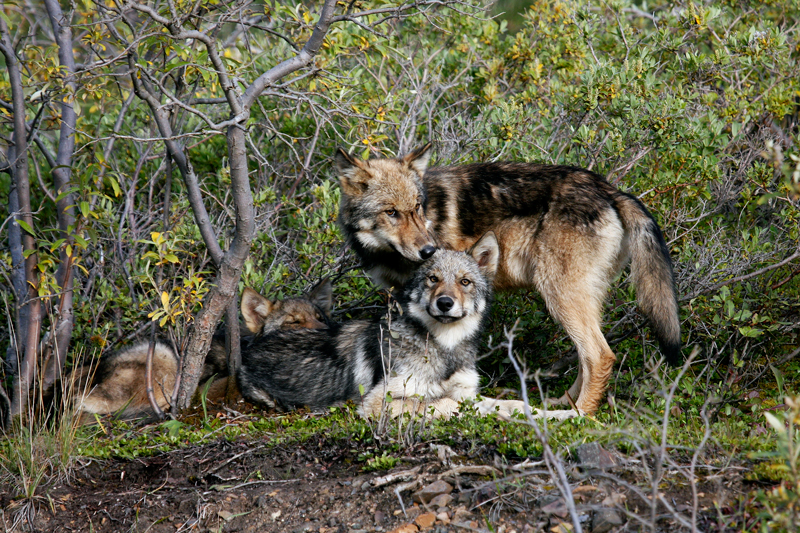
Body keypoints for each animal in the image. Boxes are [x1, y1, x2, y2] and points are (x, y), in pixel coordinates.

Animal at [238, 233, 568, 420]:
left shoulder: (468, 393)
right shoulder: (376, 404)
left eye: (464, 282)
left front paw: (563, 414)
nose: (445, 303)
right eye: (433, 279)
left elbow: (514, 404)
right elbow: (447, 405)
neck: (443, 348)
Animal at [334, 144, 680, 416]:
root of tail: (611, 189)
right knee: (587, 359)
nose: (429, 249)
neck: (384, 252)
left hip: (558, 296)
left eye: (418, 207)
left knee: (599, 355)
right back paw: (562, 403)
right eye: (391, 212)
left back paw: (579, 415)